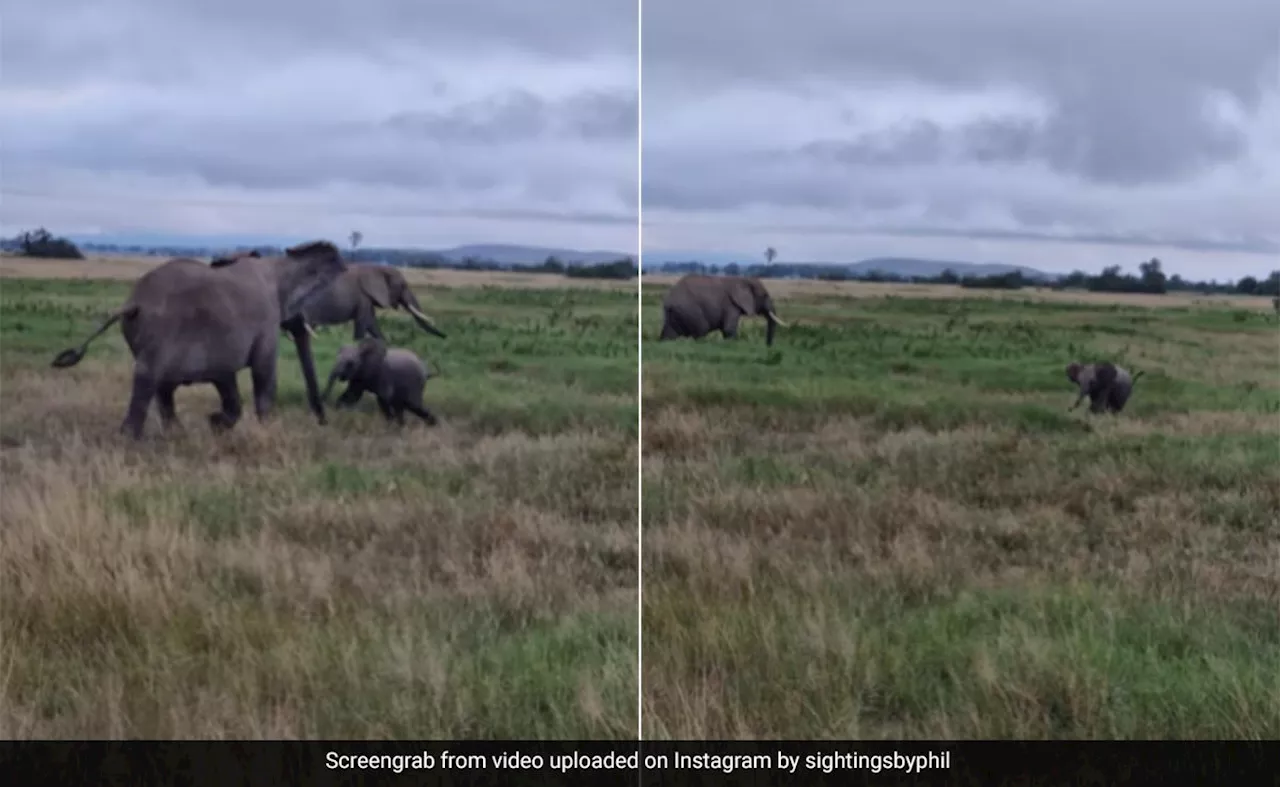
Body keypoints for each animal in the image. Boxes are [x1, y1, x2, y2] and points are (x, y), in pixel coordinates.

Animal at [53, 240, 348, 437]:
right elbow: (264, 373)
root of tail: (133, 302)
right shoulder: (266, 322)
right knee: (147, 381)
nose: (323, 422)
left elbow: (227, 380)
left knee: (163, 389)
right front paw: (263, 430)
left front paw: (215, 424)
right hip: (160, 333)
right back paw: (132, 441)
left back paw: (176, 434)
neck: (278, 266)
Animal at [302, 264, 448, 342]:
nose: (445, 336)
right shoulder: (362, 297)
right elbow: (363, 321)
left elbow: (372, 323)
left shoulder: (367, 299)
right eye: (402, 286)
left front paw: (383, 341)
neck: (377, 268)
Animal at [660, 275, 788, 345]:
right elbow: (728, 329)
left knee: (669, 333)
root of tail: (668, 300)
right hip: (690, 311)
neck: (742, 279)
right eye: (765, 296)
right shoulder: (730, 305)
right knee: (701, 330)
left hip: (675, 313)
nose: (768, 346)